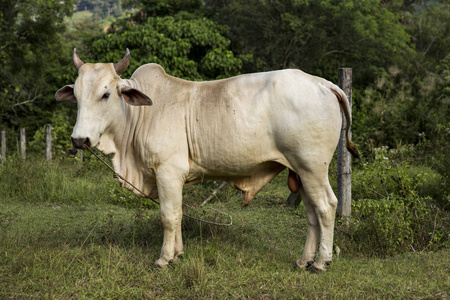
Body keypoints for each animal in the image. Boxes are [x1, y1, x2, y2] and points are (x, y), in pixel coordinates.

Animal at [55, 49, 358, 272]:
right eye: (77, 97)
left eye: (105, 94)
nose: (79, 140)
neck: (139, 115)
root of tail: (324, 83)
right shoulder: (172, 177)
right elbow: (177, 214)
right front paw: (177, 253)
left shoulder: (167, 171)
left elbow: (168, 216)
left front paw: (163, 259)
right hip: (300, 172)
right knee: (311, 214)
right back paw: (304, 260)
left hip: (312, 168)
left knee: (326, 207)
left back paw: (321, 262)